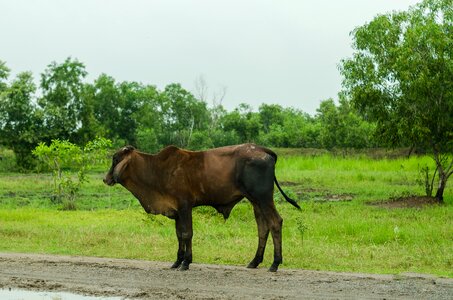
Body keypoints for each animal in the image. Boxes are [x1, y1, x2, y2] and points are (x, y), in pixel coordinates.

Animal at [103, 143, 298, 272]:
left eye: (115, 159)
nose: (106, 179)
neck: (157, 170)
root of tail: (264, 150)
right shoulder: (176, 210)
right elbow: (179, 235)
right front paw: (177, 261)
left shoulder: (185, 206)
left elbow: (187, 234)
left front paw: (186, 262)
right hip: (255, 201)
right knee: (263, 228)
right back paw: (255, 261)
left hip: (263, 198)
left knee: (275, 222)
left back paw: (275, 263)